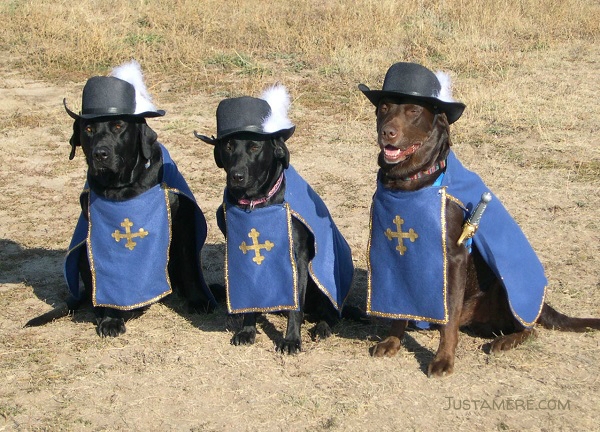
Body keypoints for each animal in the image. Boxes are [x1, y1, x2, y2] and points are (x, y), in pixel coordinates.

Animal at [27, 114, 218, 334]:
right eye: (88, 129)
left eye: (118, 126)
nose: (100, 154)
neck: (125, 186)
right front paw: (111, 319)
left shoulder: (183, 222)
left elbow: (190, 266)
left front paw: (199, 301)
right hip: (84, 253)